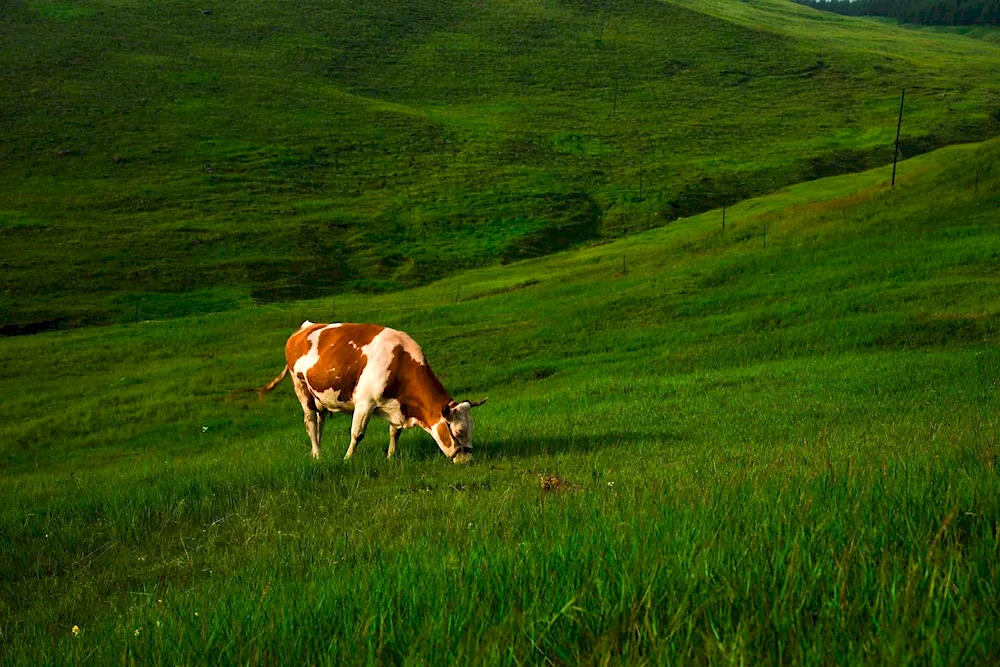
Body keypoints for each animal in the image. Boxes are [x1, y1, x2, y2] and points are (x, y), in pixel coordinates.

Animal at [258, 324, 488, 464]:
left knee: (319, 420)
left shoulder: (396, 405)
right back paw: (317, 454)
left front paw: (391, 456)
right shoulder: (365, 402)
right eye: (458, 432)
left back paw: (318, 450)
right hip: (301, 387)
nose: (468, 461)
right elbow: (357, 433)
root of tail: (304, 327)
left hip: (319, 395)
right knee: (310, 421)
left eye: (473, 428)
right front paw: (348, 459)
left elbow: (394, 432)